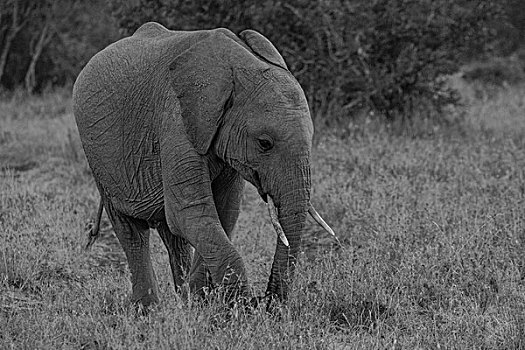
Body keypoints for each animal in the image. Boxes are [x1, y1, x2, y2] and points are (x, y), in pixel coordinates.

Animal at [72, 21, 336, 308]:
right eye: (264, 143)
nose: (267, 302)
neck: (236, 66)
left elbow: (222, 213)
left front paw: (200, 301)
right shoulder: (176, 118)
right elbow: (190, 212)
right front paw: (236, 307)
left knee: (171, 236)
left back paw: (181, 297)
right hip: (99, 157)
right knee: (132, 232)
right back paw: (148, 308)